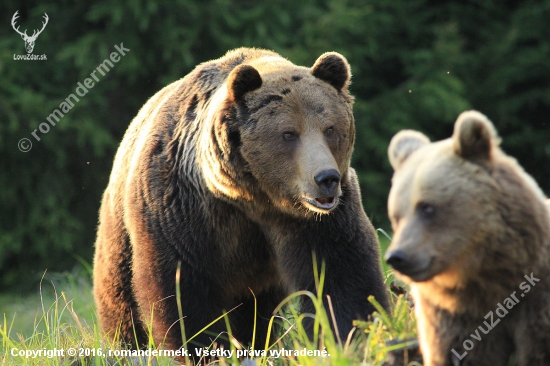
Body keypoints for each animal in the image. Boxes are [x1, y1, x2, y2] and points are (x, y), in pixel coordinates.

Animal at [92, 47, 390, 356]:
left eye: (330, 128)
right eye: (288, 133)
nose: (326, 178)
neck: (254, 199)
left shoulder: (318, 221)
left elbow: (340, 275)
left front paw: (351, 339)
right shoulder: (182, 207)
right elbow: (183, 288)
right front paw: (204, 347)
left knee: (255, 311)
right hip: (120, 227)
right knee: (119, 292)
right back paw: (125, 342)